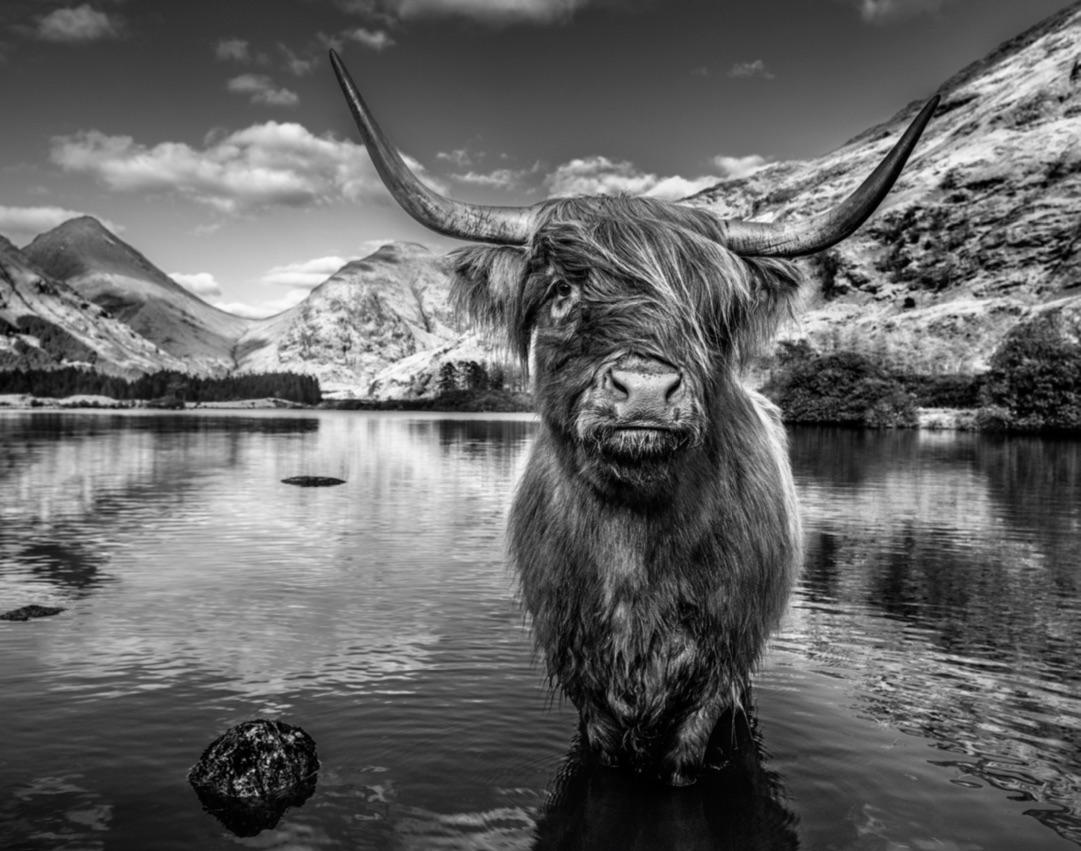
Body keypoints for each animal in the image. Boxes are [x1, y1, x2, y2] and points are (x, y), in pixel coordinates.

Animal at [328, 51, 938, 787]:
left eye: (714, 311)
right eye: (562, 292)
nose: (645, 390)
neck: (635, 552)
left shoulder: (717, 670)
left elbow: (686, 755)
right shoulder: (581, 676)